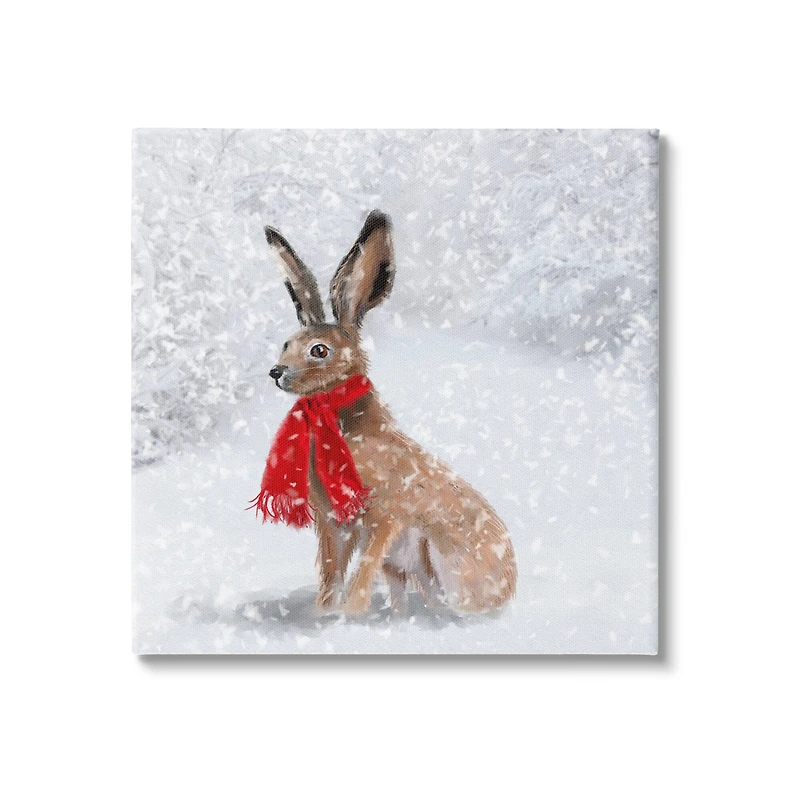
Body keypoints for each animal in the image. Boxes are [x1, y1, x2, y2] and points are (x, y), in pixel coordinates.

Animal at [262, 210, 517, 616]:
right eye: (286, 343)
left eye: (319, 351)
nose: (276, 372)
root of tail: (510, 590)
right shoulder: (333, 526)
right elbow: (331, 574)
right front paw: (324, 613)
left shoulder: (385, 518)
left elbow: (361, 575)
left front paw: (348, 615)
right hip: (404, 569)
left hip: (437, 557)